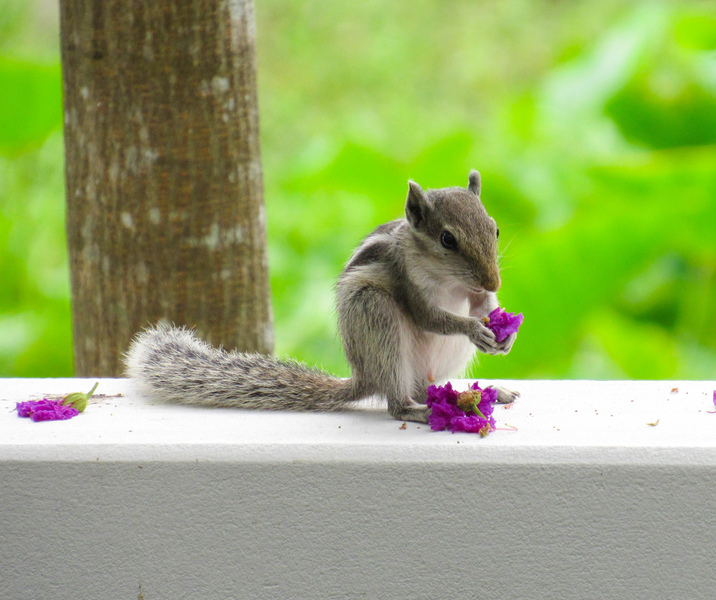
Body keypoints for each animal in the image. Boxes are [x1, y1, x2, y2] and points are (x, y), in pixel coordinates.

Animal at [126, 169, 516, 422]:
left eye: (495, 229)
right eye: (447, 239)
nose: (494, 282)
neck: (449, 280)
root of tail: (364, 377)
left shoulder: (472, 292)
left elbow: (481, 305)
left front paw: (502, 331)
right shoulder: (408, 281)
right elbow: (430, 316)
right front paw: (474, 328)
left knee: (424, 388)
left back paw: (480, 394)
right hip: (375, 316)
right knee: (399, 401)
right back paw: (419, 409)